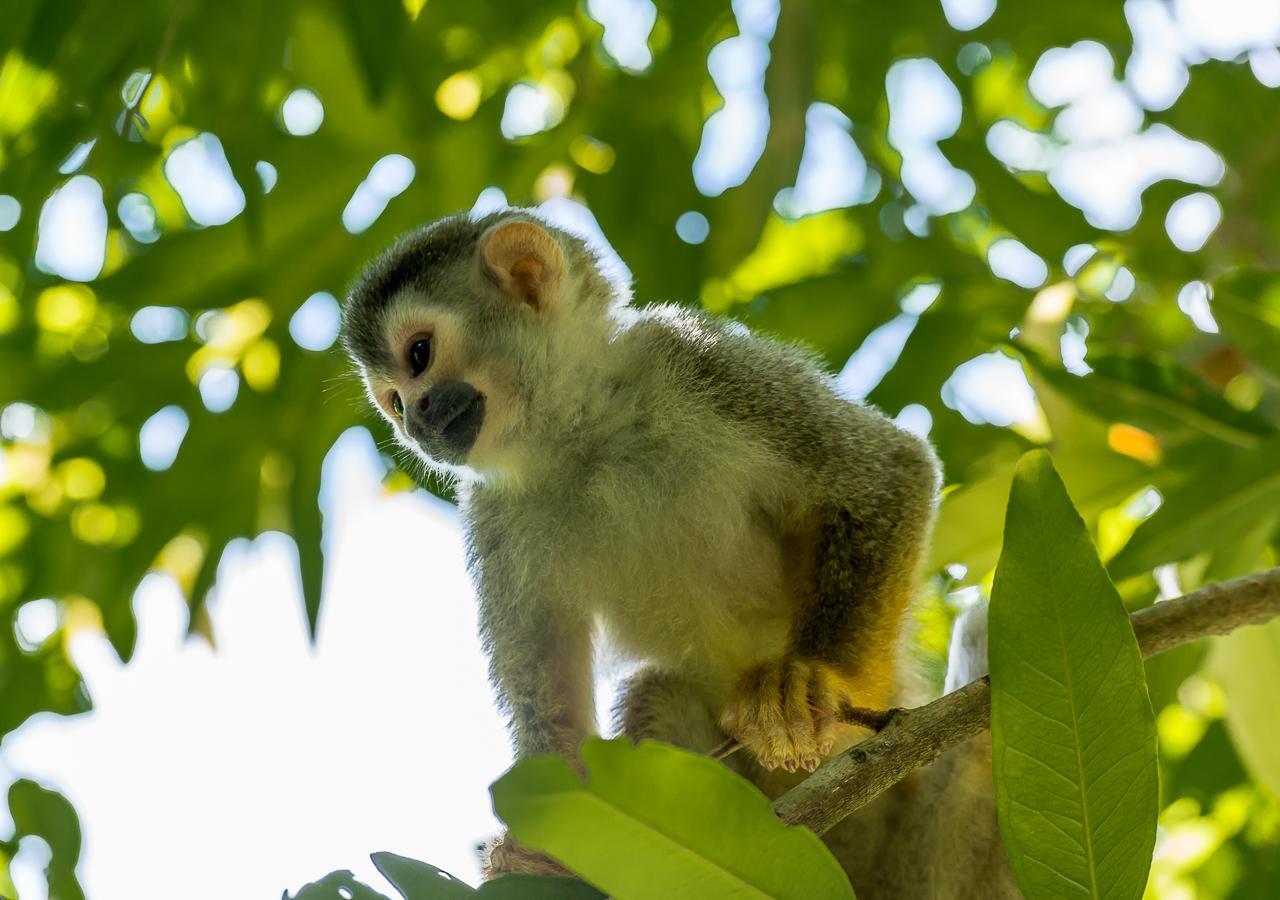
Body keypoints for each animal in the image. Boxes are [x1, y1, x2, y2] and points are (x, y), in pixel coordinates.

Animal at [343, 209, 1018, 896]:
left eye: (419, 355)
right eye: (392, 401)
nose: (415, 423)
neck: (583, 436)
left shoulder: (697, 360)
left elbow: (887, 471)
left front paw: (813, 682)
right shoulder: (493, 516)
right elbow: (549, 692)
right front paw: (544, 852)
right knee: (658, 690)